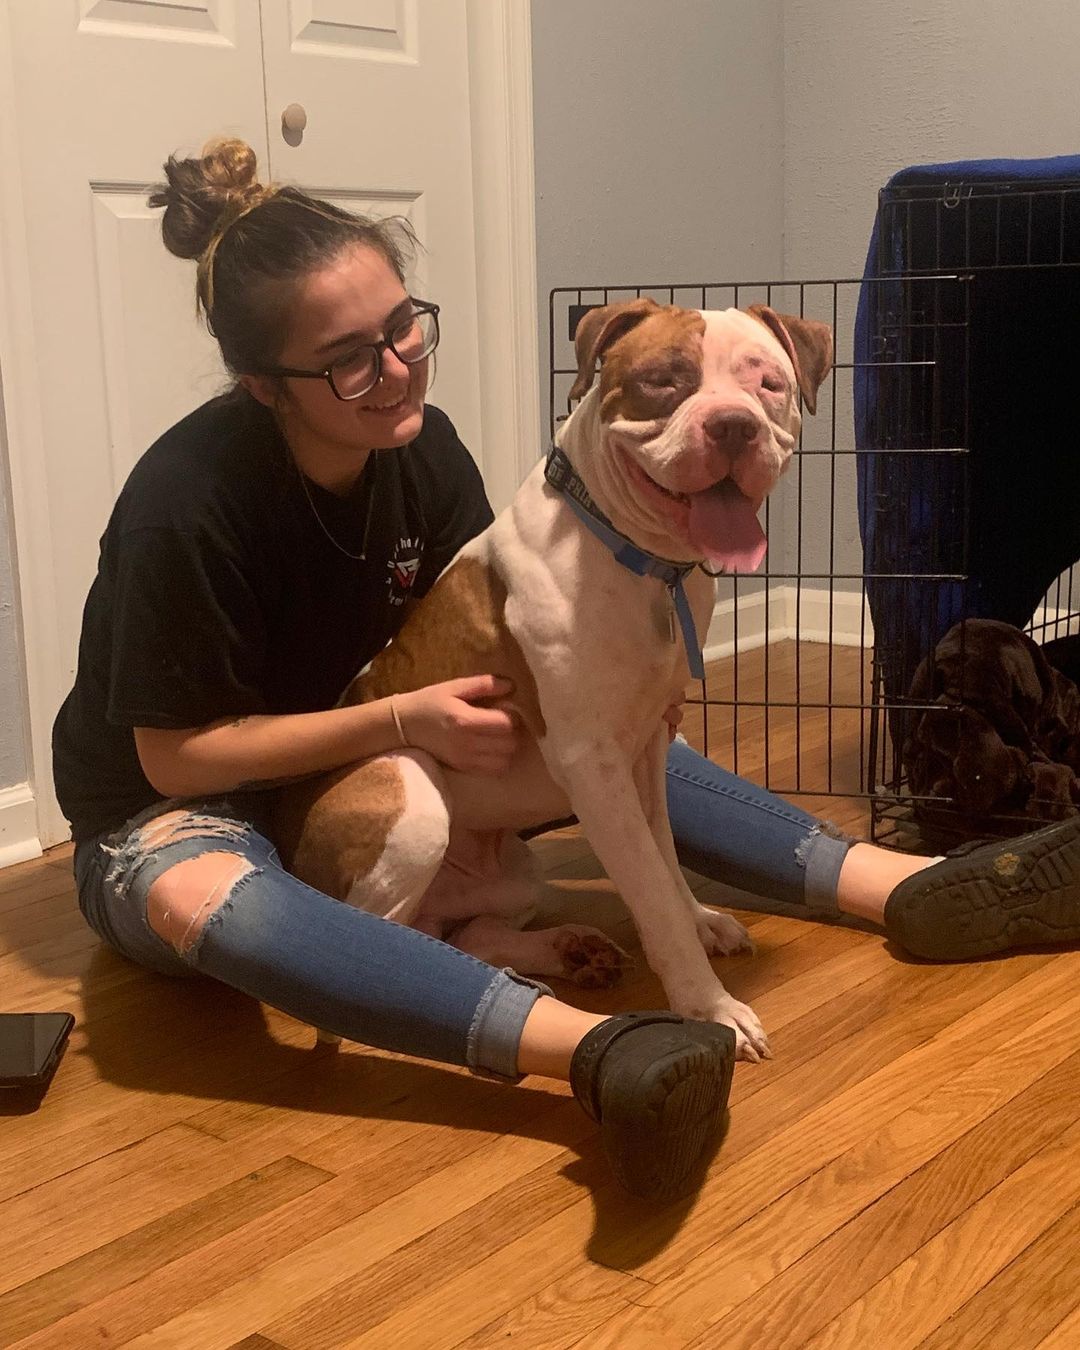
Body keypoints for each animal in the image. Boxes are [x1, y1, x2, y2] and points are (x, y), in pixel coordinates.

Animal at [274, 301, 831, 1058]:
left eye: (768, 384)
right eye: (663, 381)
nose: (733, 425)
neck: (642, 564)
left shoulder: (645, 750)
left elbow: (662, 855)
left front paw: (700, 920)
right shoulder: (592, 766)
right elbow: (650, 891)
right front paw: (709, 1006)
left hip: (511, 874)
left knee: (464, 930)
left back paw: (565, 949)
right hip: (411, 793)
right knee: (385, 940)